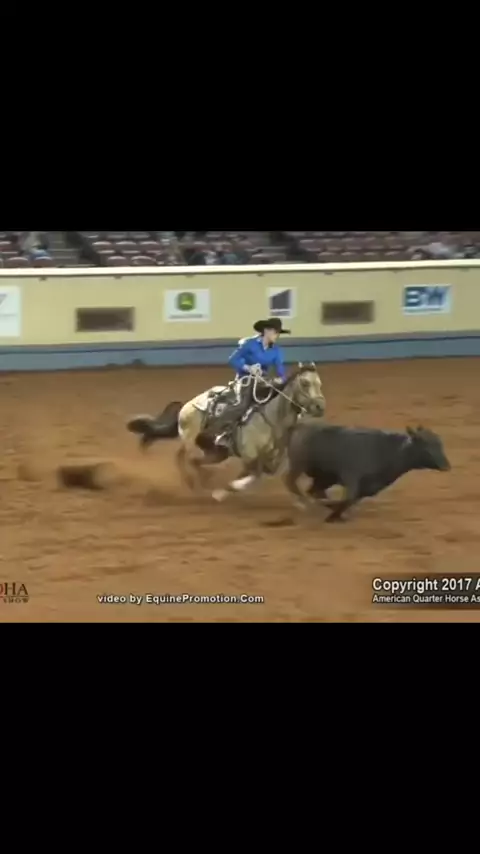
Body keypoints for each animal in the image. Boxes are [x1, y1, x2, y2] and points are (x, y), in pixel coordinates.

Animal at [175, 363, 326, 502]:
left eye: (319, 383)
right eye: (305, 383)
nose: (320, 407)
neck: (272, 418)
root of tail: (186, 406)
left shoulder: (271, 459)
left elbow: (263, 472)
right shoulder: (249, 456)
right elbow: (254, 473)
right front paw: (226, 490)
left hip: (217, 453)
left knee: (194, 461)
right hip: (192, 441)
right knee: (184, 456)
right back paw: (193, 482)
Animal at [285, 423, 451, 522]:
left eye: (439, 444)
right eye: (426, 445)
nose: (446, 466)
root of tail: (301, 426)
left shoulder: (368, 486)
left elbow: (350, 500)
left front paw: (335, 513)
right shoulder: (351, 477)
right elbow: (348, 499)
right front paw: (333, 514)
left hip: (324, 477)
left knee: (313, 491)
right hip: (299, 465)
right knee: (291, 483)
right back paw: (305, 504)